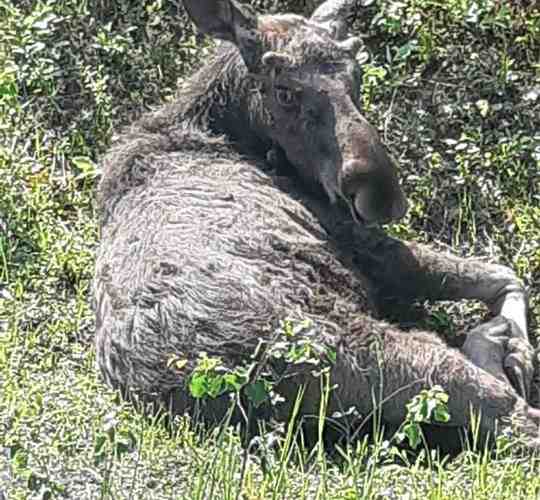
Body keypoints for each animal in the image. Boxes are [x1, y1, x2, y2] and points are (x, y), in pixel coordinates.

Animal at [94, 0, 540, 454]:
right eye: (284, 91)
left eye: (356, 75)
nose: (382, 194)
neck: (218, 129)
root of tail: (225, 384)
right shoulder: (361, 242)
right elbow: (503, 274)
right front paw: (520, 347)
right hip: (390, 350)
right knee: (510, 415)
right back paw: (499, 346)